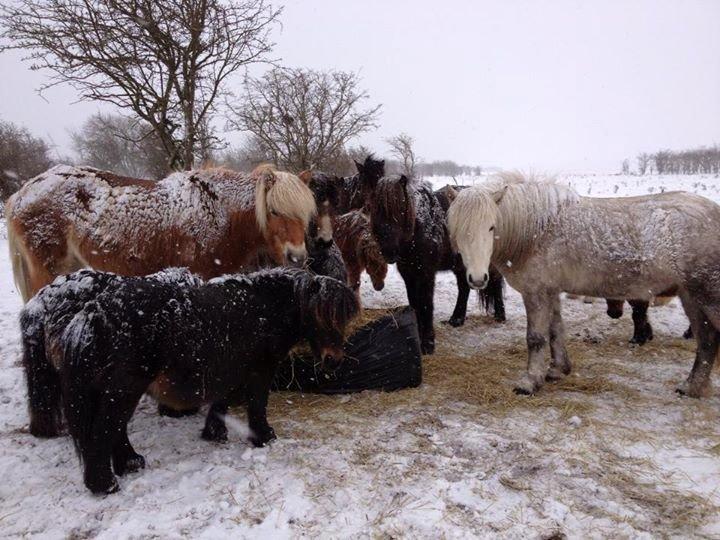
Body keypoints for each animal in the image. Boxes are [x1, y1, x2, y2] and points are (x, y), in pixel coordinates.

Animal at [4, 162, 316, 302]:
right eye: (273, 211)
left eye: (305, 214)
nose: (297, 257)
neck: (220, 213)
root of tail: (23, 192)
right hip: (47, 271)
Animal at [21, 266, 358, 494]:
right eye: (320, 316)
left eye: (342, 318)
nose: (334, 359)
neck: (264, 307)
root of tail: (92, 312)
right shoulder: (260, 370)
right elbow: (257, 404)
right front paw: (264, 436)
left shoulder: (230, 368)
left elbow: (222, 401)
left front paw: (215, 432)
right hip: (124, 389)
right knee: (105, 430)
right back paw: (105, 483)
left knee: (114, 430)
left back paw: (129, 464)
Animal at [448, 173, 720, 396]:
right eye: (458, 229)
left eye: (491, 226)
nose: (478, 279)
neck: (536, 232)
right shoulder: (550, 291)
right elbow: (555, 331)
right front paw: (557, 370)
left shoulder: (536, 292)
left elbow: (536, 338)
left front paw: (529, 382)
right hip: (690, 297)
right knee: (707, 340)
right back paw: (691, 387)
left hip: (706, 297)